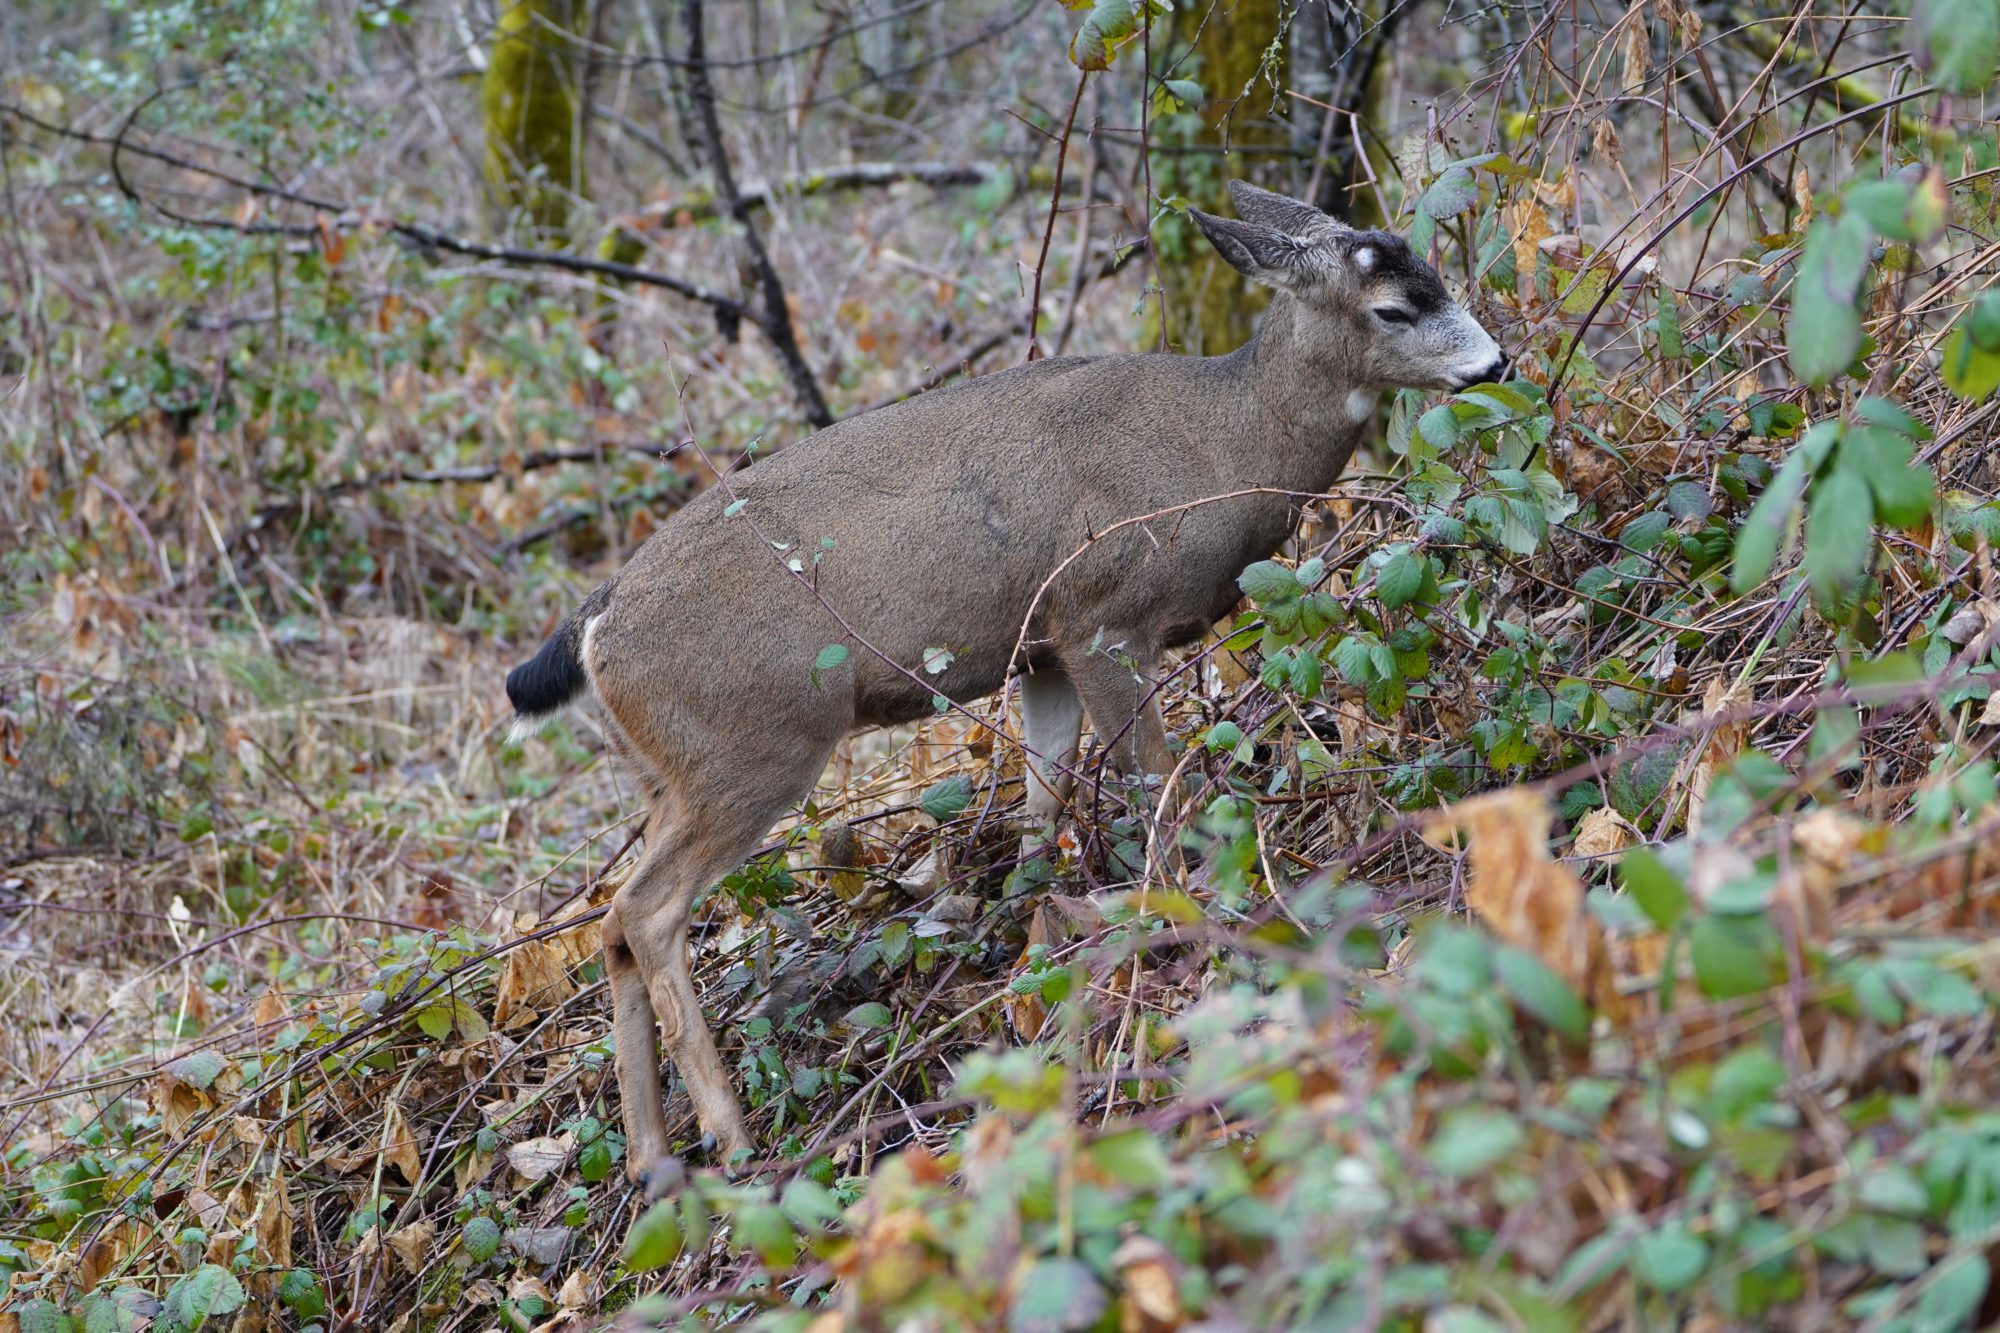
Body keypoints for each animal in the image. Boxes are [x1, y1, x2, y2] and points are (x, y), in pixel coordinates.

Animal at [500, 182, 1504, 1176]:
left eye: (1437, 272)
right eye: (1393, 307)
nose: (1497, 361)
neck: (1223, 449)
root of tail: (597, 625)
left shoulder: (1045, 649)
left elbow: (1042, 801)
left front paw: (1029, 942)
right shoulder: (1103, 614)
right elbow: (1159, 786)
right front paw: (1208, 914)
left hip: (673, 767)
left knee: (609, 922)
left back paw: (654, 1159)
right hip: (754, 744)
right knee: (647, 910)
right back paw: (731, 1135)